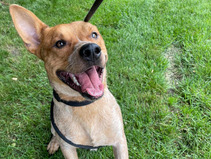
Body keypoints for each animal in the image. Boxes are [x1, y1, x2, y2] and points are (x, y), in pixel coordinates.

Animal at [9, 4, 129, 158]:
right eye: (60, 43)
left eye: (94, 34)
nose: (91, 50)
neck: (85, 105)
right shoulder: (68, 148)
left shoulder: (120, 142)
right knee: (55, 133)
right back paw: (54, 143)